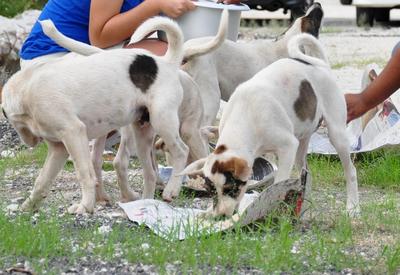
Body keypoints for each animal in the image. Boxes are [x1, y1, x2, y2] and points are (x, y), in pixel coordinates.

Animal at [0, 12, 228, 216]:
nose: (31, 142)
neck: (27, 89)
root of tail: (166, 62)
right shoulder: (59, 148)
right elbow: (42, 179)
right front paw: (29, 206)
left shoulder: (74, 133)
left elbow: (84, 173)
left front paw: (85, 206)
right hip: (142, 134)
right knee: (150, 173)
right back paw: (144, 202)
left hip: (163, 120)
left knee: (180, 151)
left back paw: (171, 190)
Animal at [181, 33, 360, 218]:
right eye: (211, 190)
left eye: (231, 189)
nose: (221, 215)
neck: (244, 117)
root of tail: (321, 65)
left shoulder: (288, 147)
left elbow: (279, 182)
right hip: (301, 145)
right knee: (305, 174)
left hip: (336, 133)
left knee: (351, 171)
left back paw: (353, 208)